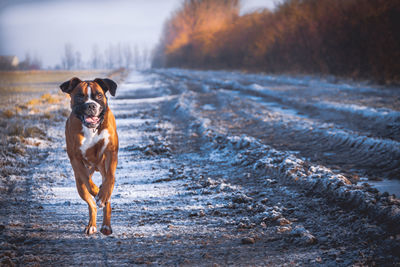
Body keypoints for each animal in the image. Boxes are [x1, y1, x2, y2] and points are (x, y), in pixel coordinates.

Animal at [60, 77, 118, 237]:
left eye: (99, 95)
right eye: (80, 96)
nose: (91, 105)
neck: (92, 128)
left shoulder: (111, 152)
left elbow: (111, 178)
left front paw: (103, 194)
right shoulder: (76, 160)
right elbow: (89, 184)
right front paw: (98, 192)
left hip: (102, 167)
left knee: (106, 195)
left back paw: (106, 225)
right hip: (79, 183)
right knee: (91, 203)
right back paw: (91, 225)